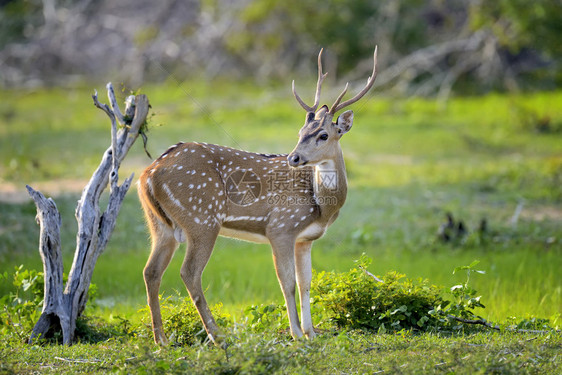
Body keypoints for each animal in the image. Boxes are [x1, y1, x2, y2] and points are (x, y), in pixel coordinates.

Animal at [138, 47, 378, 346]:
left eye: (323, 135)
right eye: (300, 132)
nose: (293, 157)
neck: (320, 207)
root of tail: (148, 174)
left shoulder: (305, 239)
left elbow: (306, 282)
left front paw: (311, 332)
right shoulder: (281, 227)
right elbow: (287, 282)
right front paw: (296, 333)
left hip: (160, 224)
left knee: (151, 271)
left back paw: (161, 340)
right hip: (201, 218)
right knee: (189, 272)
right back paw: (217, 336)